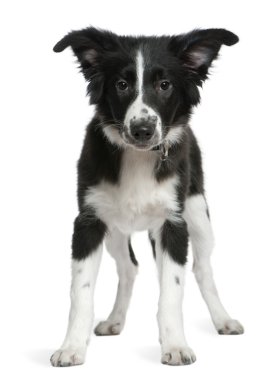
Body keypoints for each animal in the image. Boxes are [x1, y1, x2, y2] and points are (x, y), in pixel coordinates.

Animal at [50, 27, 243, 368]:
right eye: (121, 84)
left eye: (165, 85)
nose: (142, 129)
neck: (138, 158)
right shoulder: (88, 221)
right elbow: (81, 292)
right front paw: (72, 347)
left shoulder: (174, 224)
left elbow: (172, 291)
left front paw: (176, 345)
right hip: (115, 231)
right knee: (129, 267)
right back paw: (115, 320)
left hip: (198, 215)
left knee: (202, 269)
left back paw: (223, 319)